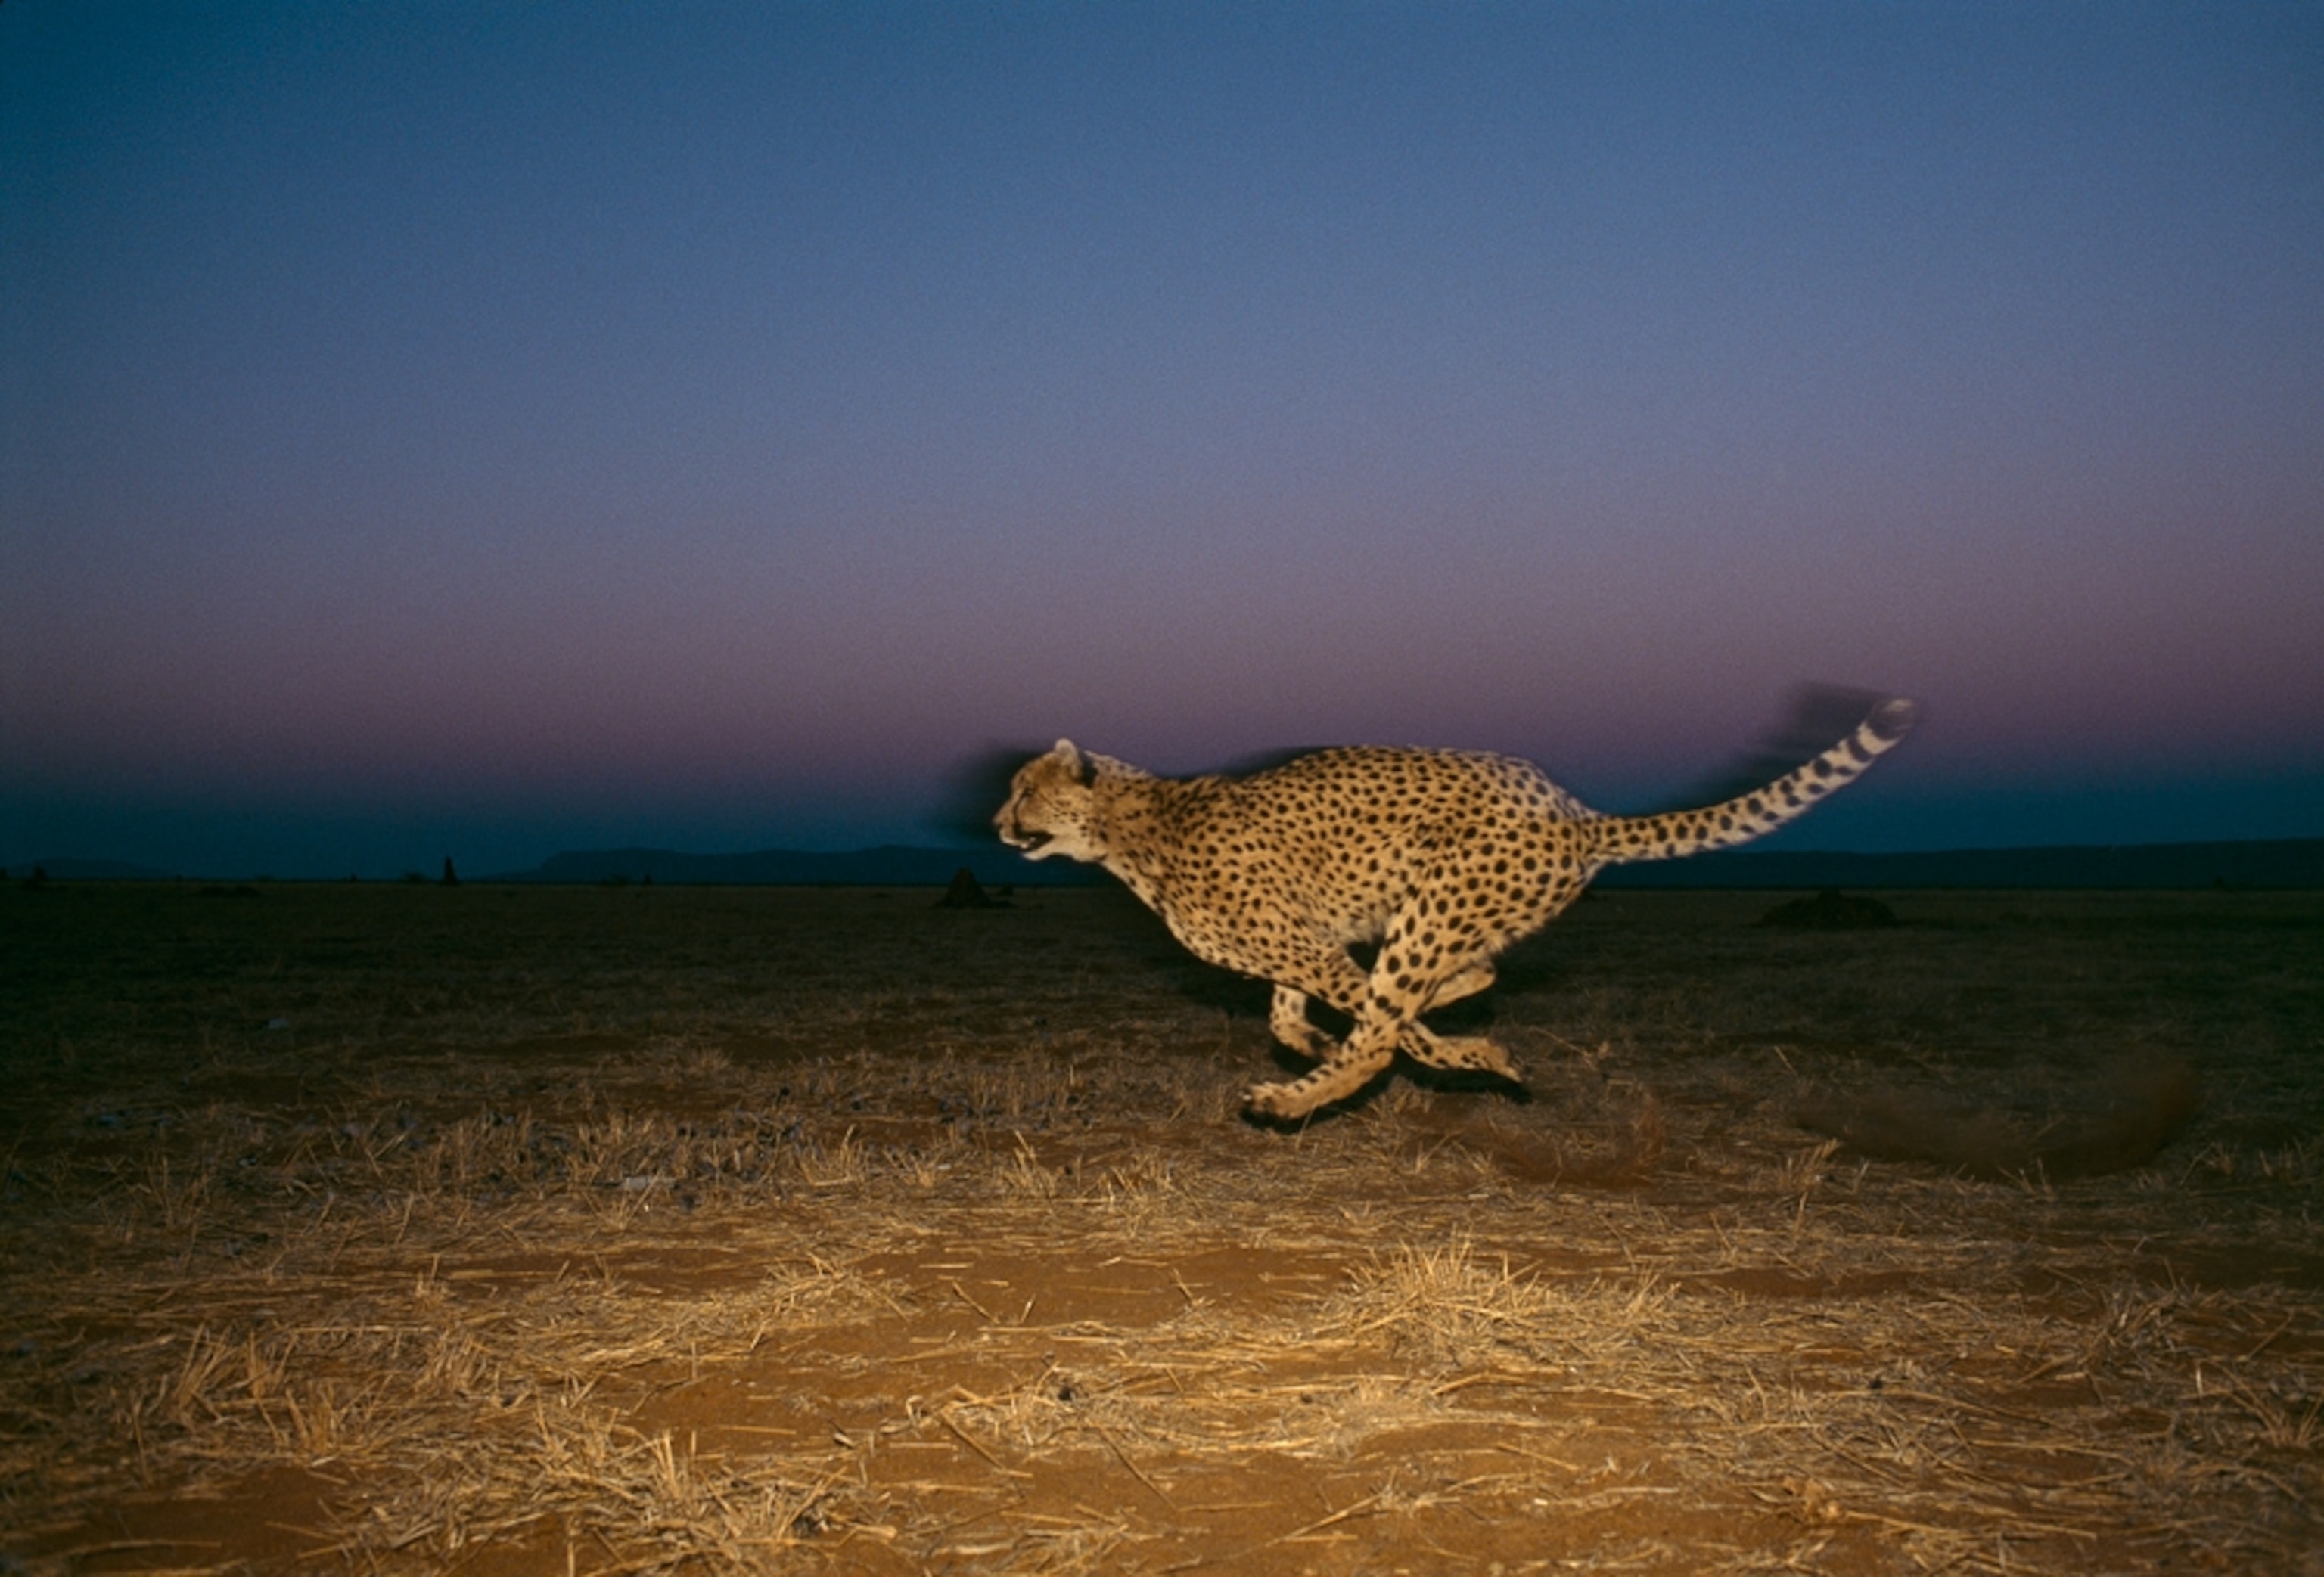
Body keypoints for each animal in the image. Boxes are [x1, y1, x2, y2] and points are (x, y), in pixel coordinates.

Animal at [994, 694, 1917, 1123]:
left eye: (1025, 791)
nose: (996, 824)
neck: (1128, 829)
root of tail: (1574, 813)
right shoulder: (1304, 945)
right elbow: (1292, 1019)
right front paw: (1330, 1039)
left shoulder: (1313, 949)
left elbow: (1376, 1030)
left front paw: (1458, 1055)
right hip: (1447, 914)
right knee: (1471, 973)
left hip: (1432, 908)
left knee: (1389, 1021)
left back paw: (1292, 1102)